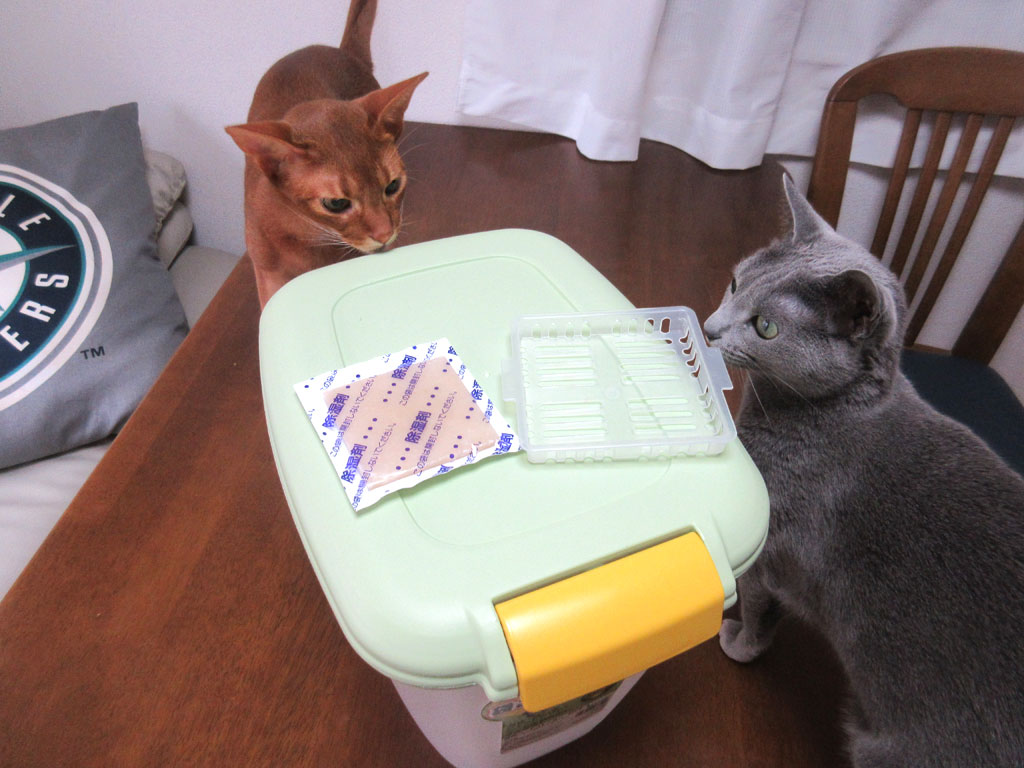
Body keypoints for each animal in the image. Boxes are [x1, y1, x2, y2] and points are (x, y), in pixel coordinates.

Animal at [226, 0, 427, 307]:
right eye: (336, 204)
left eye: (393, 186)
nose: (384, 235)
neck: (310, 235)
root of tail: (338, 49)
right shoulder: (268, 275)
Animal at [703, 174, 1024, 768]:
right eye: (734, 284)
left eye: (766, 326)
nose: (710, 329)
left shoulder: (769, 548)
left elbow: (758, 611)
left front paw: (737, 643)